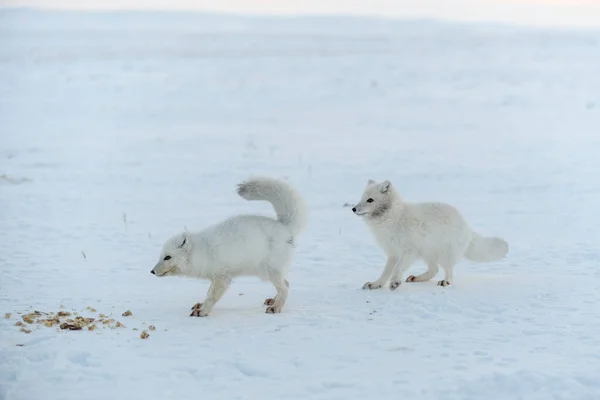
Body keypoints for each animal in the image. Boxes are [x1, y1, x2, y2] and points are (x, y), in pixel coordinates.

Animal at [150, 177, 310, 318]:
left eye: (167, 257)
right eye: (160, 256)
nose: (152, 271)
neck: (202, 251)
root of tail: (285, 227)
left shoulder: (223, 277)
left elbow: (212, 296)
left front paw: (202, 311)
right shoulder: (214, 277)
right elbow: (208, 293)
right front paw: (201, 305)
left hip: (269, 271)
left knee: (285, 287)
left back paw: (276, 307)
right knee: (287, 283)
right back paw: (273, 301)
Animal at [350, 180, 508, 290]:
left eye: (370, 200)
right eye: (362, 198)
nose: (353, 209)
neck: (392, 217)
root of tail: (467, 225)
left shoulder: (409, 251)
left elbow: (397, 268)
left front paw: (394, 282)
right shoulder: (392, 253)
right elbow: (385, 272)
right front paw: (376, 284)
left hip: (444, 253)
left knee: (447, 270)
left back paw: (446, 282)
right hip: (427, 253)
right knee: (434, 270)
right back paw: (416, 278)